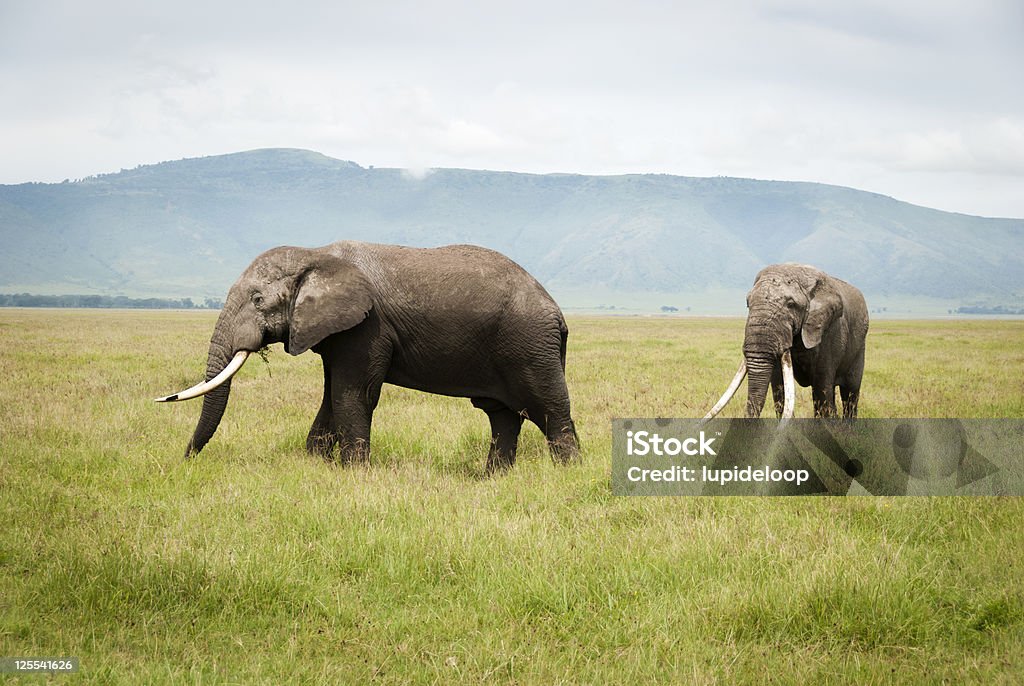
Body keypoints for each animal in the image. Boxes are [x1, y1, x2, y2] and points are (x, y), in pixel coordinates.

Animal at [155, 241, 581, 473]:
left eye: (258, 299)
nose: (186, 460)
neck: (317, 254)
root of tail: (557, 312)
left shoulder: (367, 327)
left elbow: (353, 394)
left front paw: (353, 473)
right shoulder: (337, 332)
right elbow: (332, 394)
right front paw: (316, 465)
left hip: (529, 345)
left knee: (549, 411)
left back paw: (568, 476)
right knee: (503, 417)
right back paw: (493, 480)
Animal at [704, 266, 864, 421]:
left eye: (791, 304)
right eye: (748, 303)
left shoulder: (829, 333)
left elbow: (821, 388)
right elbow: (779, 386)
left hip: (859, 347)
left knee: (850, 393)